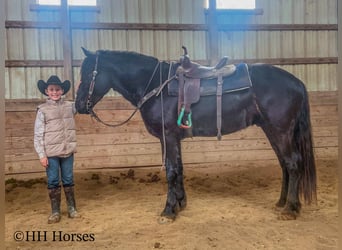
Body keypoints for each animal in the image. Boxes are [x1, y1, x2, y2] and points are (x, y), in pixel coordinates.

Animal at [76, 47, 316, 222]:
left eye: (88, 74)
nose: (78, 105)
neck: (155, 86)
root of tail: (297, 83)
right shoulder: (172, 139)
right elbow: (179, 169)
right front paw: (180, 203)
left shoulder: (168, 137)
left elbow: (171, 171)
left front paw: (169, 211)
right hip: (272, 130)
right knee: (284, 165)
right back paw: (283, 202)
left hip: (281, 131)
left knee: (293, 163)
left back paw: (291, 209)